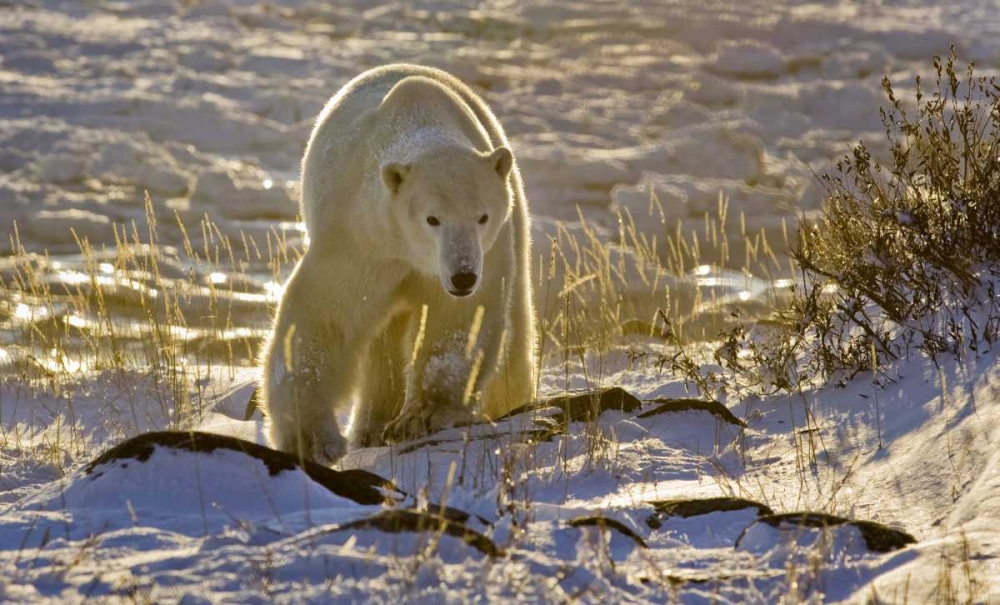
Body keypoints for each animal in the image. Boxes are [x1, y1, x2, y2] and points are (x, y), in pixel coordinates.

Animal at [262, 65, 536, 462]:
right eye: (432, 218)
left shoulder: (487, 251)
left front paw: (425, 414)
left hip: (513, 231)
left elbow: (459, 322)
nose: (463, 277)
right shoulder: (363, 237)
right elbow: (324, 317)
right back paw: (370, 430)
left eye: (482, 216)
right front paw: (312, 439)